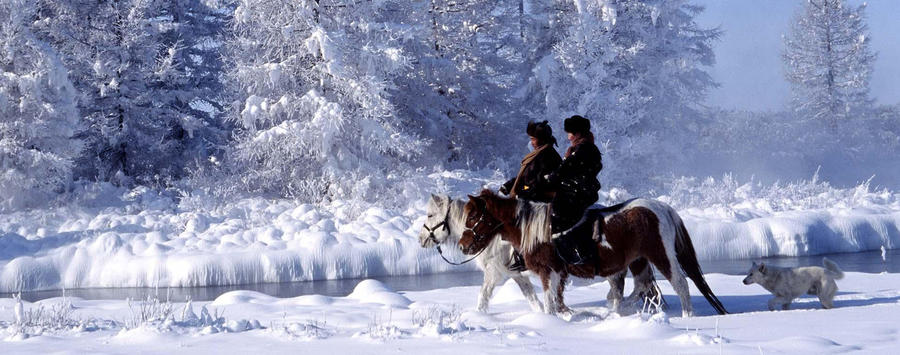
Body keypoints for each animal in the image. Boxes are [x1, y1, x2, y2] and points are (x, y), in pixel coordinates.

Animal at [418, 195, 656, 314]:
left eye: (430, 215)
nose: (421, 239)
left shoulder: (495, 273)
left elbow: (483, 295)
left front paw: (479, 315)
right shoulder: (516, 274)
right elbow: (531, 296)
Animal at [460, 191, 728, 318]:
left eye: (473, 216)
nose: (463, 245)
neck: (531, 227)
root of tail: (662, 208)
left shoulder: (549, 271)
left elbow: (548, 301)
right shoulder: (556, 274)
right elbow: (553, 300)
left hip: (660, 255)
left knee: (680, 283)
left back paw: (687, 315)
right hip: (639, 260)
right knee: (641, 286)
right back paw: (616, 310)